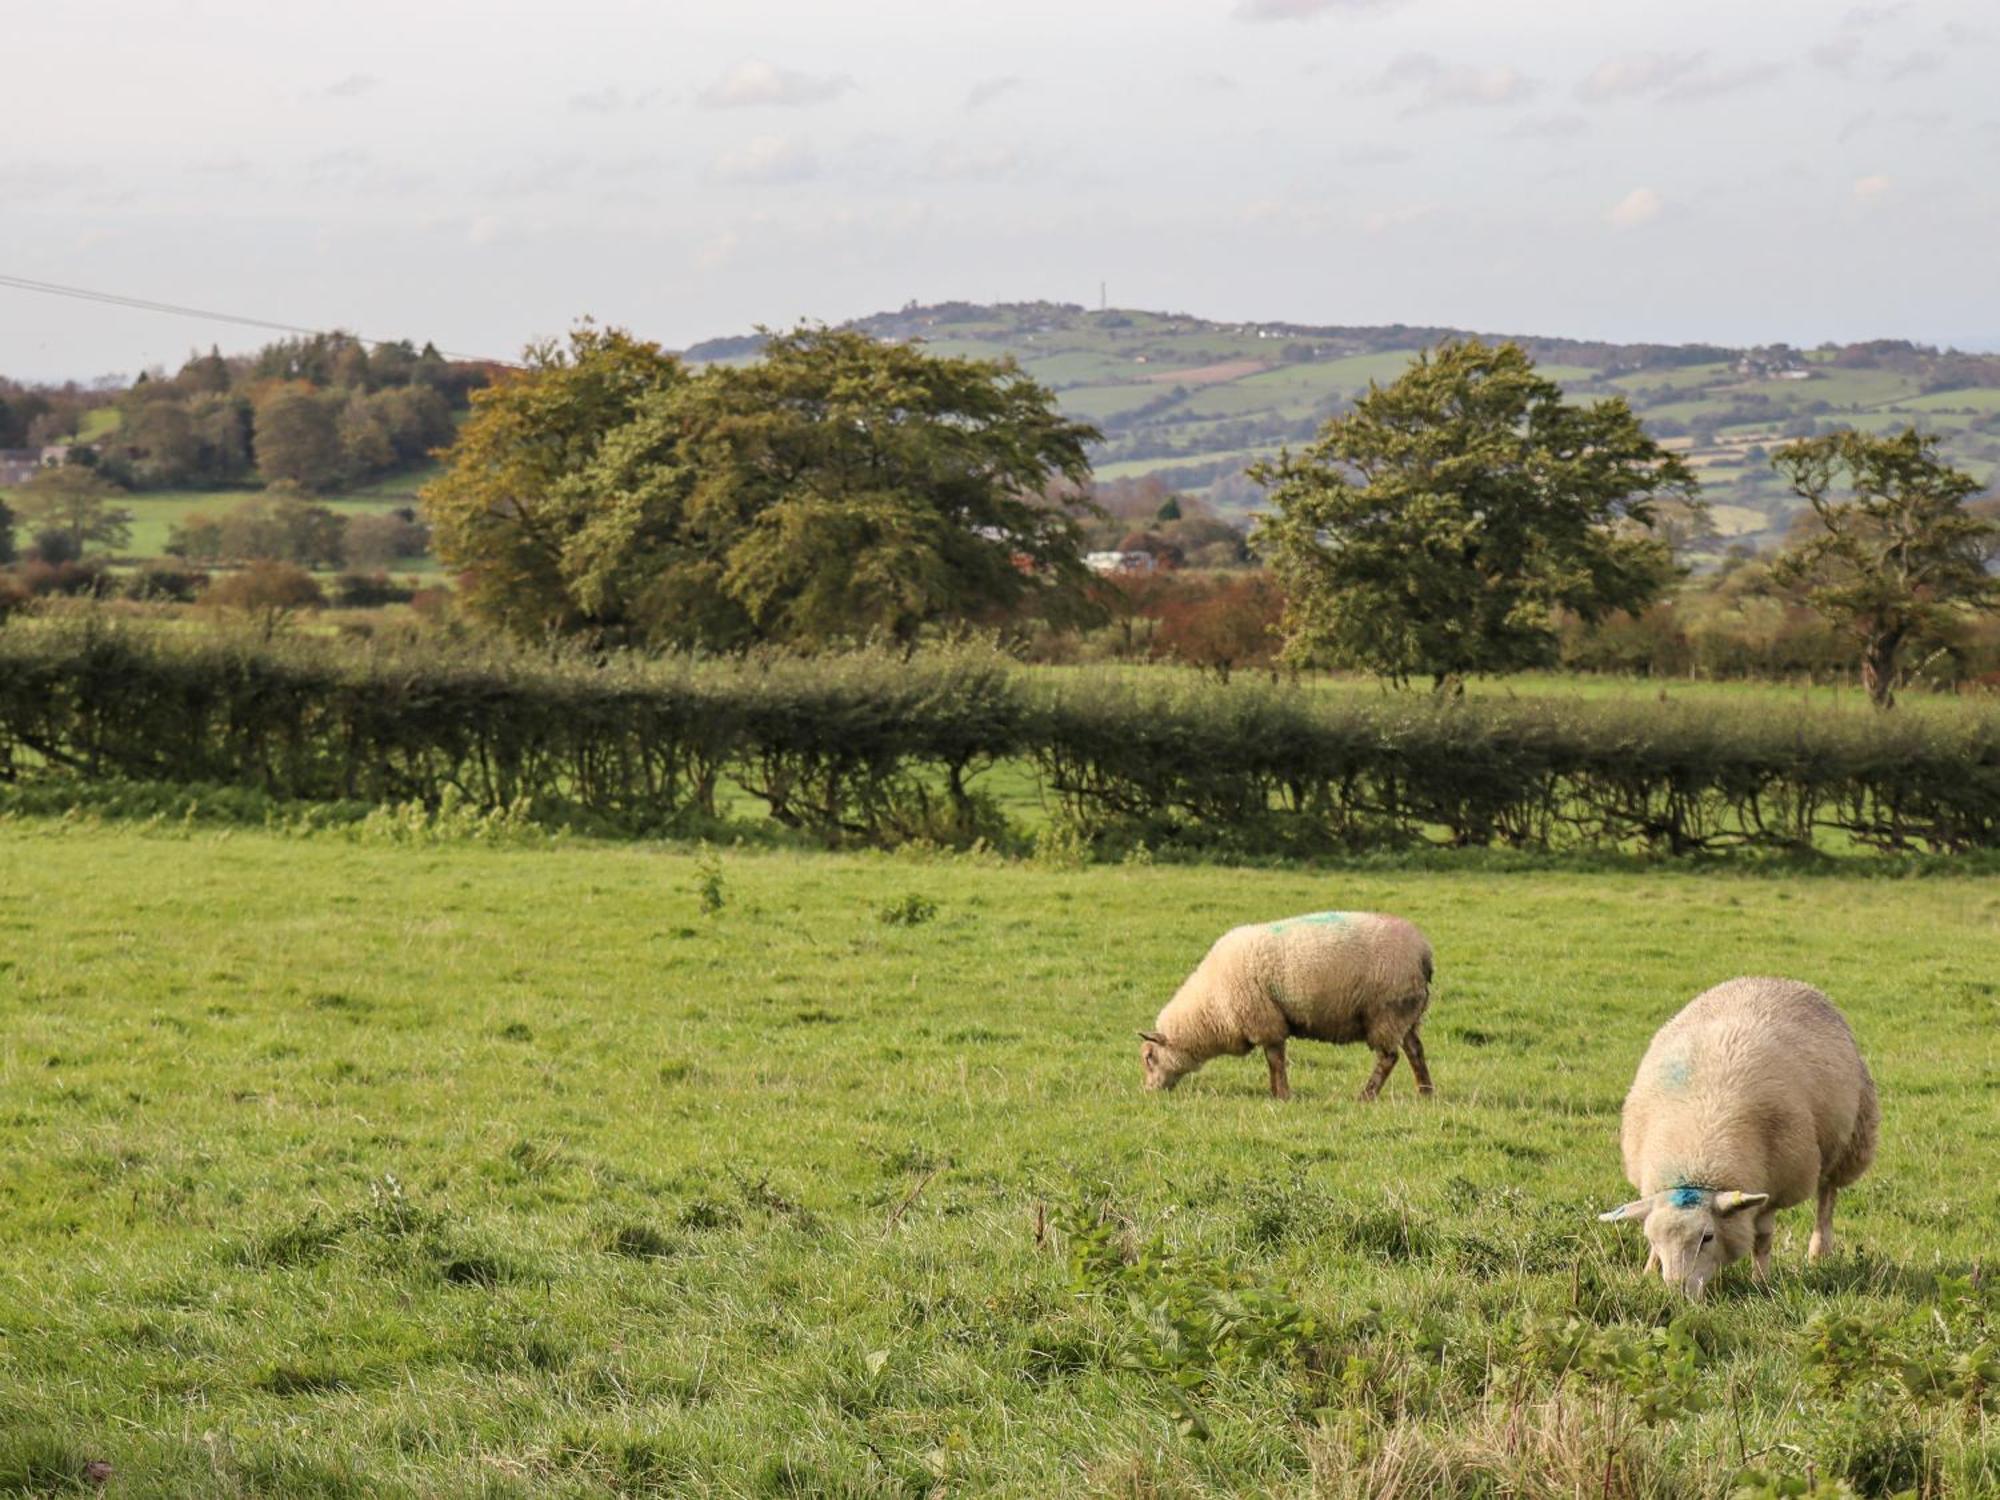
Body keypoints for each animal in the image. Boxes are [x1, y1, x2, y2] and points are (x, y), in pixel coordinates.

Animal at [1136, 912, 1432, 1096]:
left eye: (1149, 1057)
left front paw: (1281, 1095)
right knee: (1415, 1050)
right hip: (1407, 1014)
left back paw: (1366, 1096)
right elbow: (1274, 1060)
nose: (1149, 1092)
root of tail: (1423, 952)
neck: (1210, 1011)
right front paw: (1278, 1092)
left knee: (1389, 1057)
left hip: (1387, 1012)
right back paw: (1426, 1093)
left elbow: (1275, 1060)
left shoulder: (1265, 1020)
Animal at [1592, 980, 1872, 1296]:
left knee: (1827, 1196)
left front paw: (1761, 1283)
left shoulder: (1774, 1187)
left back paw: (1818, 1253)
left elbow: (1762, 1240)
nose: (1677, 1292)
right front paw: (1648, 1272)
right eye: (1652, 1239)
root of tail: (1773, 979)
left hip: (1850, 1141)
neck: (1697, 1151)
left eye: (1708, 1237)